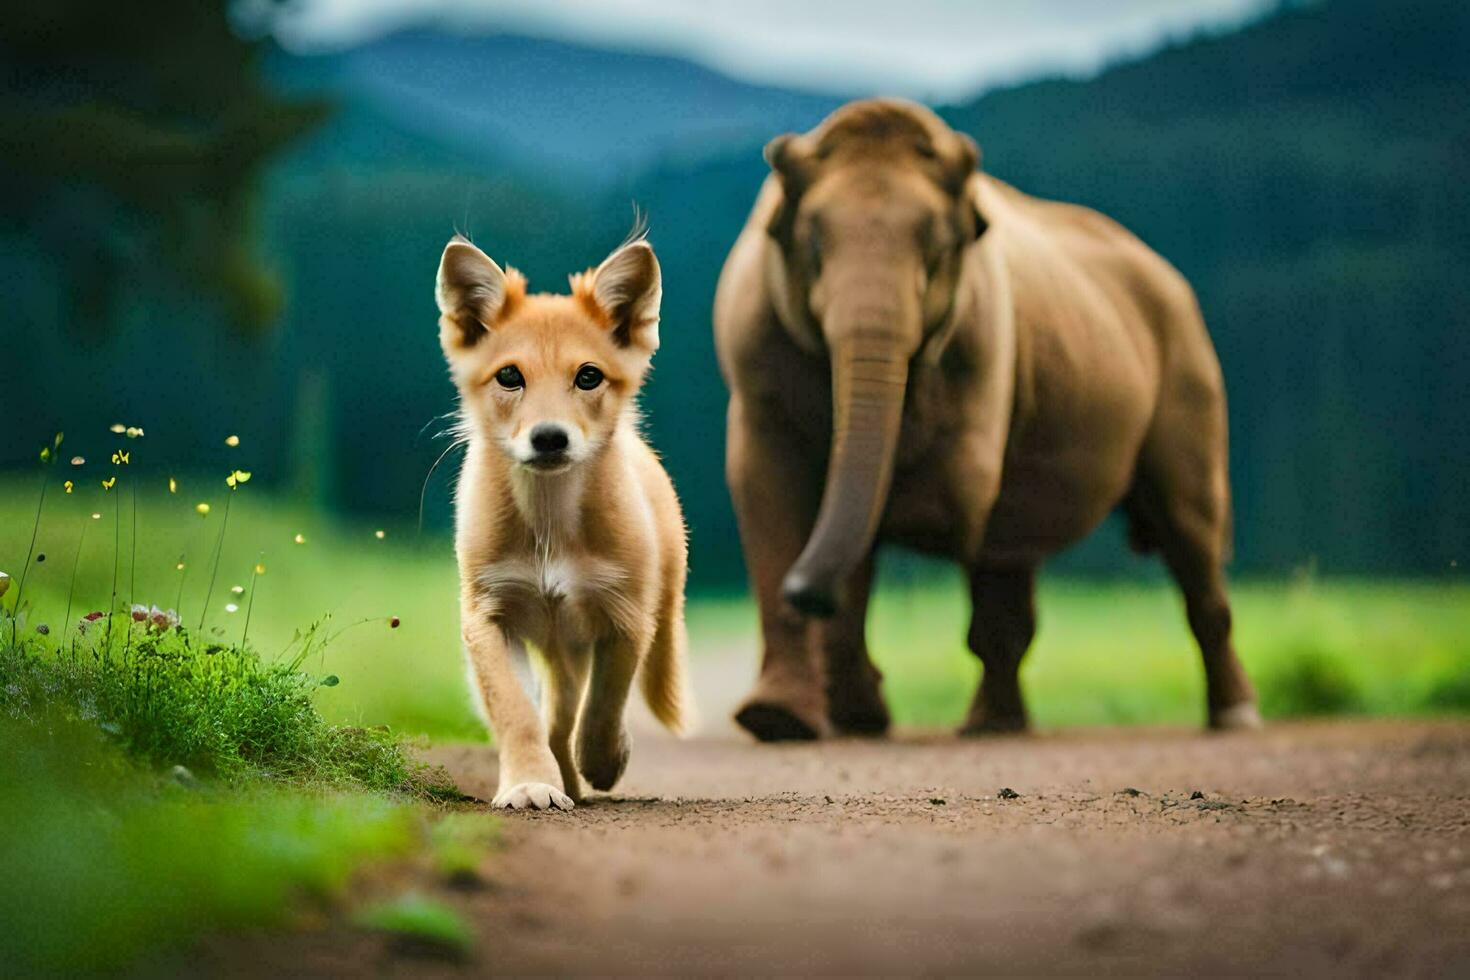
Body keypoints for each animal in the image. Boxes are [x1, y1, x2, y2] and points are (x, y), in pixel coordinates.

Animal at [435, 232, 687, 811]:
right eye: (509, 376)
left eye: (588, 376)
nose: (549, 437)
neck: (549, 518)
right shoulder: (488, 614)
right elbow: (517, 711)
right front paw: (530, 782)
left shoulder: (625, 616)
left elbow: (605, 704)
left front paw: (604, 759)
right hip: (557, 649)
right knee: (554, 712)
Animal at [714, 101, 1264, 743]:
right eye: (814, 247)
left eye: (936, 248)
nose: (805, 594)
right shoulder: (752, 347)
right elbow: (767, 489)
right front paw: (781, 722)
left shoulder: (983, 341)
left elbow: (955, 494)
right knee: (1010, 561)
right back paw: (983, 724)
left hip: (1188, 372)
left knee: (1189, 532)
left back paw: (1233, 717)